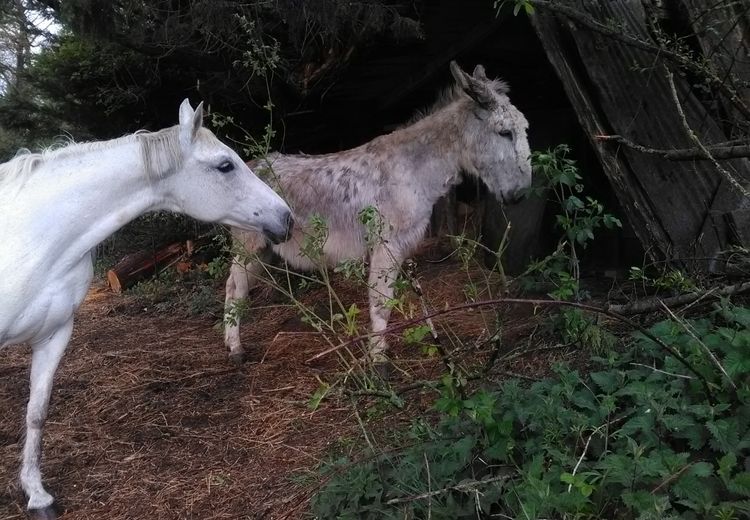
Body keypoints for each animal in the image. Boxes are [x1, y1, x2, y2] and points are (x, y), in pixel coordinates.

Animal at [0, 99, 294, 516]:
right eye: (225, 165)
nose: (286, 217)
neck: (34, 236)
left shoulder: (54, 335)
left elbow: (36, 413)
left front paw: (37, 494)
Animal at [225, 62, 536, 366]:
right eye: (504, 132)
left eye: (524, 128)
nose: (520, 194)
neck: (414, 168)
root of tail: (251, 164)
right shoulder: (386, 245)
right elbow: (381, 301)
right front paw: (378, 359)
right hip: (249, 247)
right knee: (234, 288)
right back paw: (235, 349)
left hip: (265, 250)